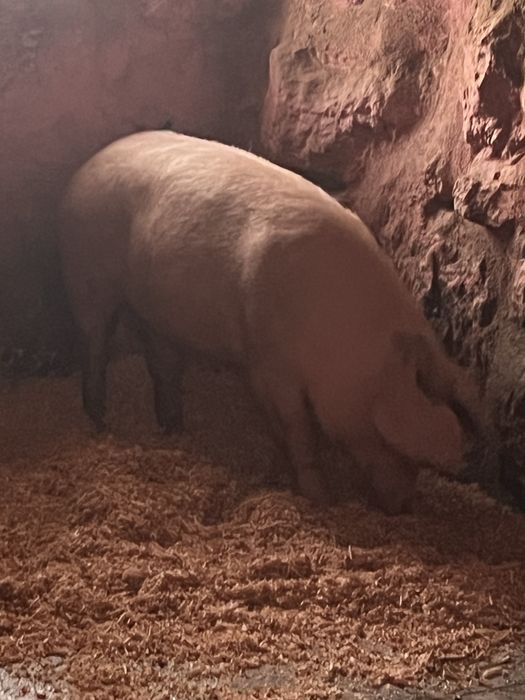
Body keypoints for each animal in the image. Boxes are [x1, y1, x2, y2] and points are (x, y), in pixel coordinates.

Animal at [58, 130, 486, 514]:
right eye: (392, 443)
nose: (401, 507)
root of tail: (84, 167)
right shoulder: (269, 361)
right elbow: (298, 430)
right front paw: (320, 498)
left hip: (155, 309)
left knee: (161, 360)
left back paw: (174, 427)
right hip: (86, 273)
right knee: (94, 343)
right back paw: (99, 422)